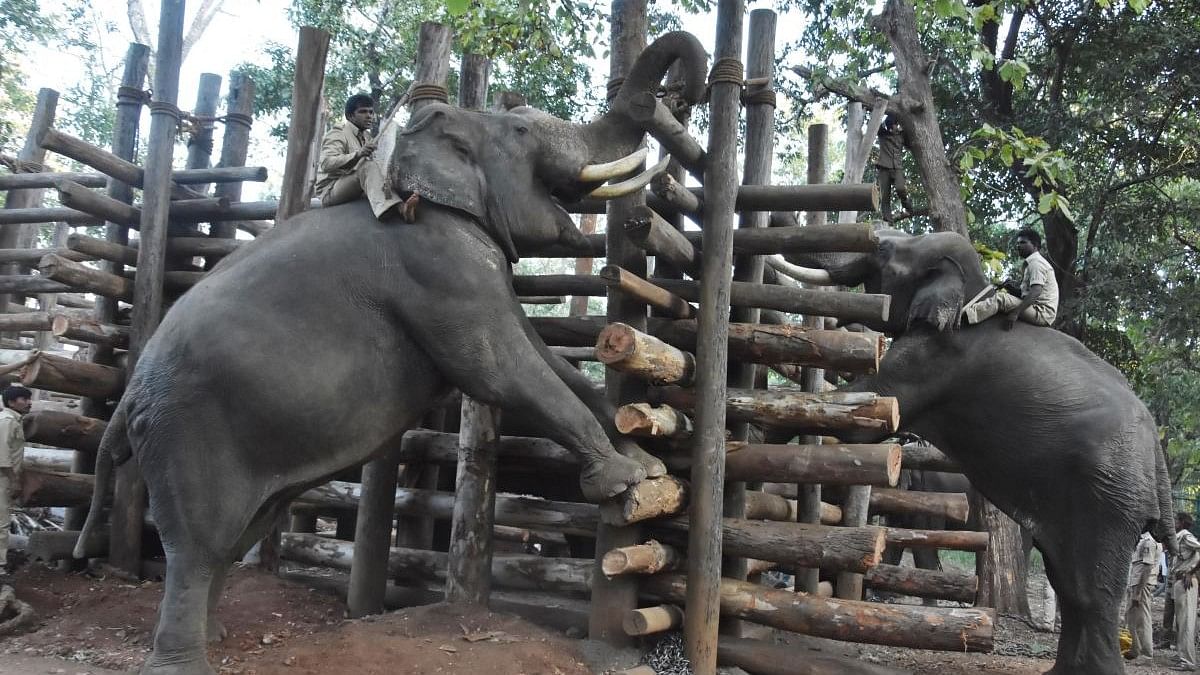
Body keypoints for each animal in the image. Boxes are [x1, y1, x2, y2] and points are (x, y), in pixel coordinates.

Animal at [72, 32, 710, 672]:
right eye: (522, 131)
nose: (682, 92)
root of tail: (126, 400)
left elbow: (545, 360)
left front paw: (647, 461)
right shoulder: (437, 263)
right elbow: (500, 370)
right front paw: (624, 479)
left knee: (240, 533)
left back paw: (220, 636)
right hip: (188, 430)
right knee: (198, 544)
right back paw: (187, 659)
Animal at [792, 228, 1176, 667]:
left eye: (883, 249)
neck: (972, 288)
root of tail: (1157, 456)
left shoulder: (934, 356)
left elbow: (871, 412)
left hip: (1109, 492)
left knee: (1090, 591)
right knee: (1066, 579)